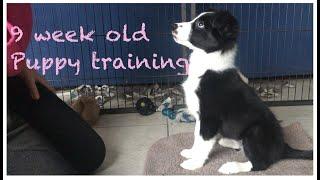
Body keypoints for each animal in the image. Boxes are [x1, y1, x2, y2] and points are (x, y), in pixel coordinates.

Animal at [171, 9, 314, 174]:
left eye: (200, 24)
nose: (173, 26)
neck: (208, 65)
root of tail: (283, 148)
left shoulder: (209, 118)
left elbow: (203, 141)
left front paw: (195, 163)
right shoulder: (200, 116)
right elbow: (196, 136)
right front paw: (191, 152)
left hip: (254, 132)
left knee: (259, 164)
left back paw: (231, 166)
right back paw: (228, 142)